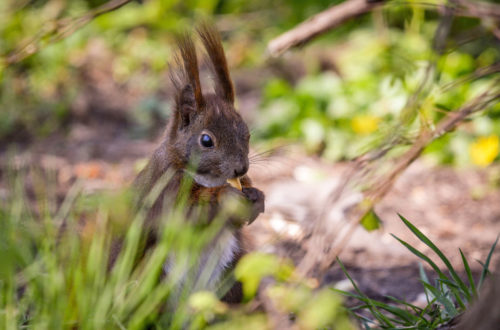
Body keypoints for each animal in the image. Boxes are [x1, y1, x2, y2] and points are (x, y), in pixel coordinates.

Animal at [133, 21, 266, 302]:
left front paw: (257, 196)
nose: (242, 168)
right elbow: (183, 217)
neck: (209, 180)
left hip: (232, 275)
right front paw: (227, 198)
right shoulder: (163, 189)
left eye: (247, 133)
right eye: (206, 140)